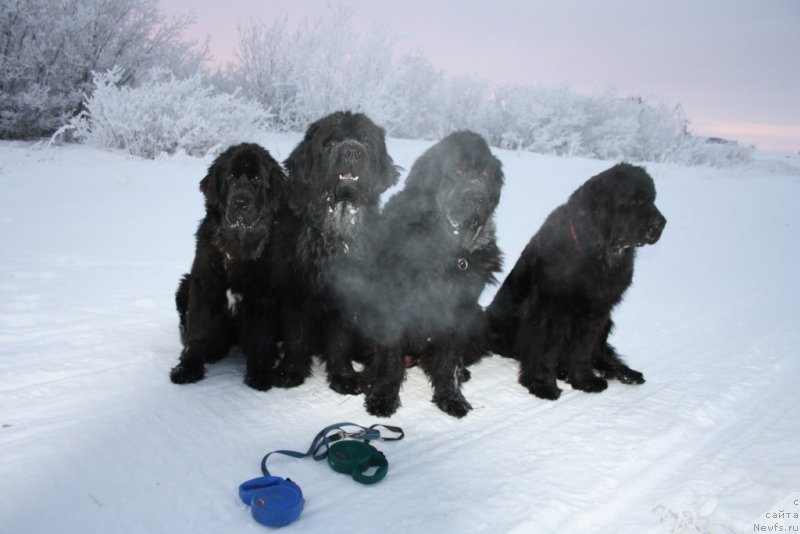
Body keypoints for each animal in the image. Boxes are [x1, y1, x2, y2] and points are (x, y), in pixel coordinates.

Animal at [170, 144, 288, 392]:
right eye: (230, 177)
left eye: (257, 179)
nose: (240, 203)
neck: (237, 246)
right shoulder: (203, 286)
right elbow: (197, 332)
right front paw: (186, 369)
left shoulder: (265, 297)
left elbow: (261, 337)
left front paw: (259, 373)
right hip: (184, 285)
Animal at [272, 111, 400, 394]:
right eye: (330, 143)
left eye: (366, 143)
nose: (352, 151)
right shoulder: (294, 290)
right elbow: (296, 337)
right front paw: (291, 372)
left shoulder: (348, 297)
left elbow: (340, 341)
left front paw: (343, 376)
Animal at [346, 131, 504, 418]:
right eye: (457, 171)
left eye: (485, 174)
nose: (478, 198)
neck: (448, 247)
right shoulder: (393, 306)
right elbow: (390, 361)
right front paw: (382, 397)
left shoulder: (458, 310)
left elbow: (448, 362)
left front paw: (451, 398)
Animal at [484, 163, 664, 402]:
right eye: (636, 201)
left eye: (653, 199)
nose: (661, 224)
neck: (598, 253)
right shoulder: (547, 307)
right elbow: (544, 348)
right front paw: (542, 384)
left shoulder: (597, 312)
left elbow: (583, 349)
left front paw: (585, 380)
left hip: (606, 322)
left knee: (602, 353)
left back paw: (625, 373)